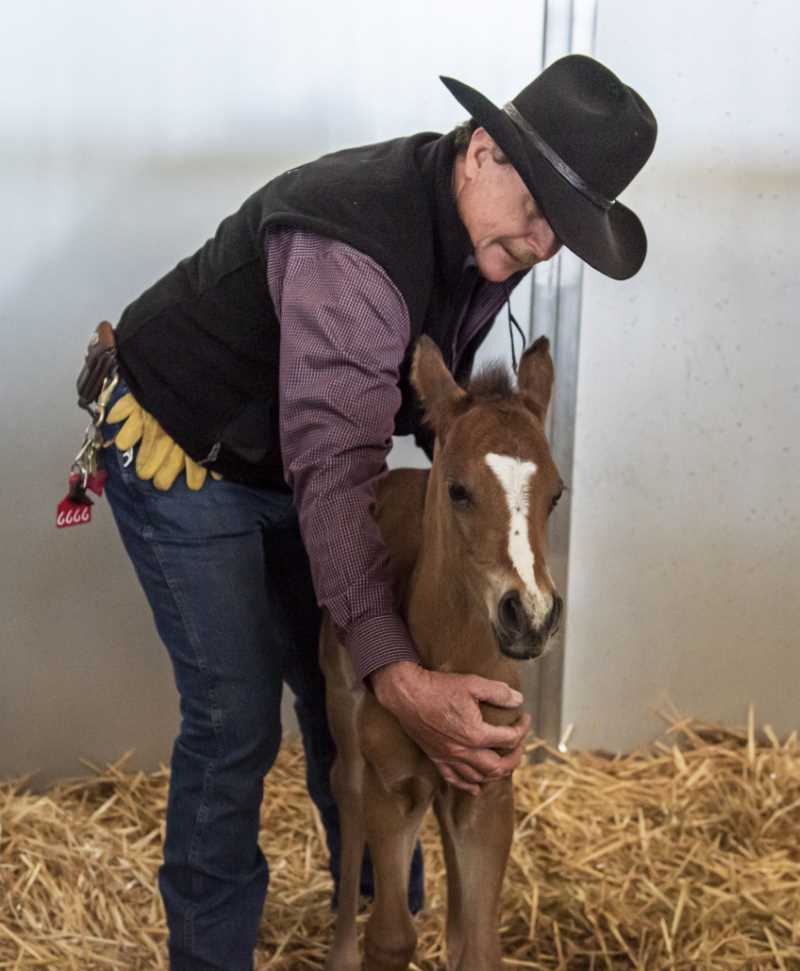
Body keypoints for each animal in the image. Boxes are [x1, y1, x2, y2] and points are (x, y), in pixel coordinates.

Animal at [318, 336, 564, 971]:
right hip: (343, 712)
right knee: (343, 789)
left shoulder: (490, 787)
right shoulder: (393, 786)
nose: (530, 614)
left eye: (557, 494)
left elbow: (480, 949)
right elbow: (390, 939)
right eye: (458, 490)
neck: (455, 665)